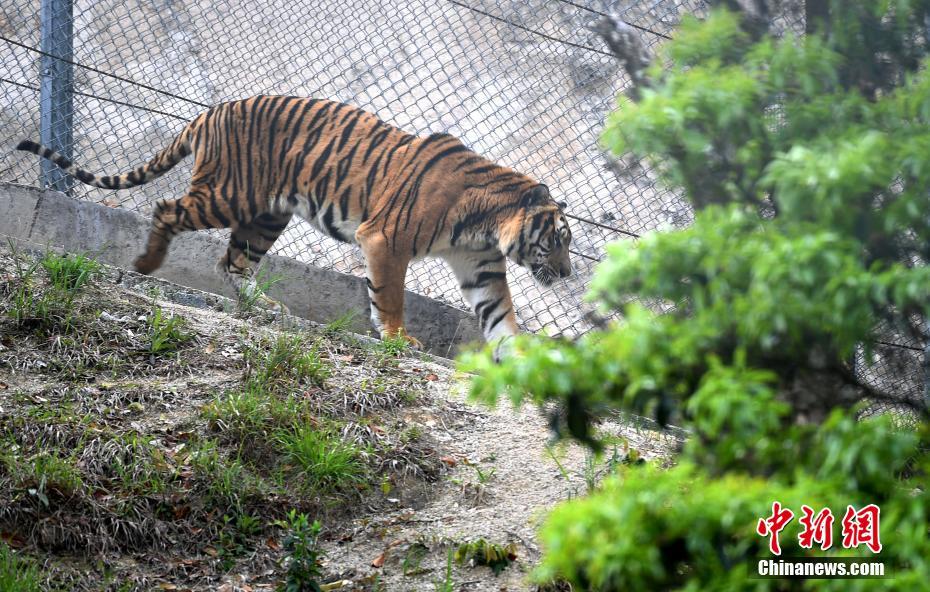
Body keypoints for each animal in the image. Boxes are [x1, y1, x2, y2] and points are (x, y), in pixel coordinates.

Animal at [16, 93, 572, 352]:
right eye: (558, 241)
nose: (567, 274)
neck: (486, 223)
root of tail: (211, 111)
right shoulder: (386, 239)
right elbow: (390, 295)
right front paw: (397, 338)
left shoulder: (481, 266)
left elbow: (500, 317)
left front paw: (521, 357)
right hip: (228, 195)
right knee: (167, 210)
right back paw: (147, 264)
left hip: (266, 216)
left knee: (232, 263)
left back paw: (266, 308)